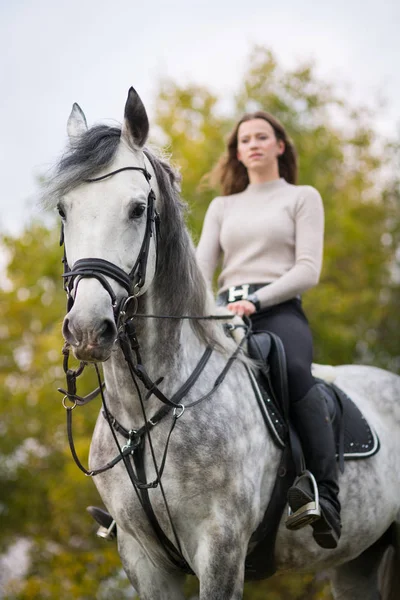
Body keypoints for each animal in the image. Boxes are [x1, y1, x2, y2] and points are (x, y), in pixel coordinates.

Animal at [47, 85, 400, 600]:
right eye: (63, 209)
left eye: (137, 209)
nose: (89, 328)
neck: (146, 415)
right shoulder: (142, 557)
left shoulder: (221, 548)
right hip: (357, 561)